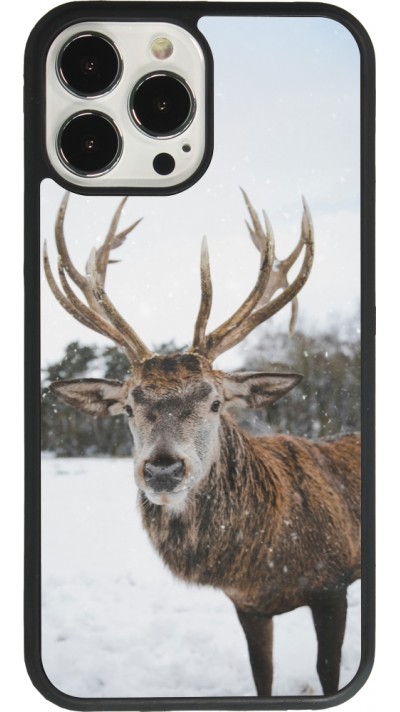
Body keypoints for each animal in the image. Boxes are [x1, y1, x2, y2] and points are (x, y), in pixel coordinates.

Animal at [44, 190, 361, 697]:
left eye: (215, 402)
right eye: (128, 406)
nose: (163, 469)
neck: (266, 562)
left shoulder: (334, 585)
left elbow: (328, 673)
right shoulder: (247, 605)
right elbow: (262, 676)